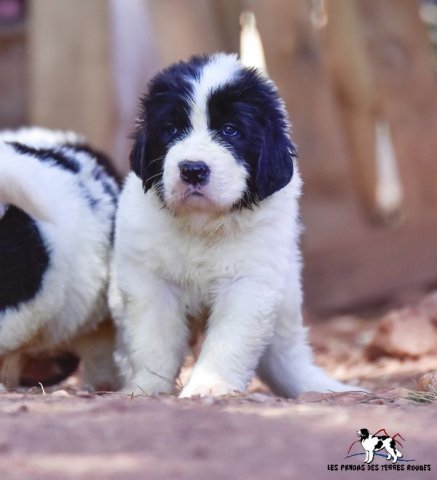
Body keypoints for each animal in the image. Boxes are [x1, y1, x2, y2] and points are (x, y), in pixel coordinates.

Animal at [110, 53, 352, 398]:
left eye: (230, 130)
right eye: (171, 129)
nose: (193, 170)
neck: (202, 226)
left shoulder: (250, 281)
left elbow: (230, 339)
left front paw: (209, 386)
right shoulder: (150, 280)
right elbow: (153, 339)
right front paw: (146, 388)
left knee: (287, 355)